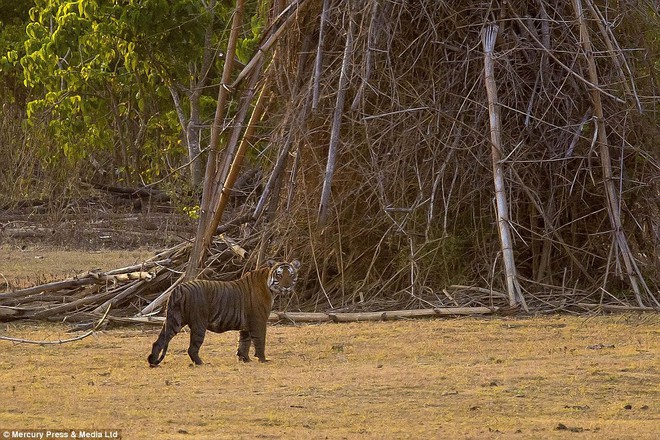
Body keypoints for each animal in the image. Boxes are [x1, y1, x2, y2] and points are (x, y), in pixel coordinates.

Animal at [148, 260, 300, 366]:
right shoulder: (258, 320)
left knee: (159, 341)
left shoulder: (246, 324)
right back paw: (201, 363)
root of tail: (178, 288)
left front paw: (245, 359)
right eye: (279, 274)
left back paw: (152, 361)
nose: (287, 286)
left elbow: (244, 342)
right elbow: (259, 340)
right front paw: (262, 359)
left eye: (291, 274)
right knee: (192, 348)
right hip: (198, 323)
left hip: (174, 320)